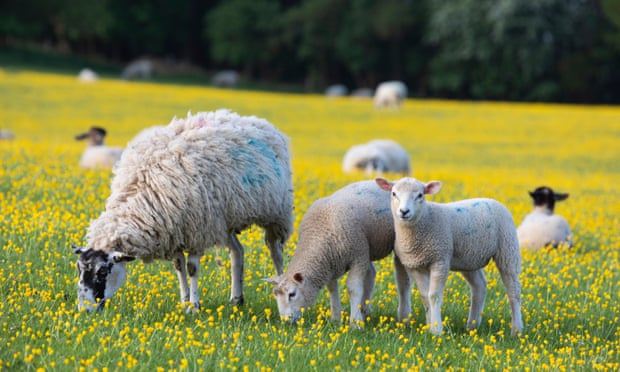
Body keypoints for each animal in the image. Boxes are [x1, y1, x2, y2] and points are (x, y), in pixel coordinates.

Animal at [71, 109, 294, 312]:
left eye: (102, 272)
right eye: (79, 269)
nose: (84, 310)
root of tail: (260, 122)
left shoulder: (197, 230)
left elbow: (192, 268)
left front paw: (194, 306)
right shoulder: (175, 230)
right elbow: (179, 266)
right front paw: (184, 301)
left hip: (277, 214)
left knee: (276, 253)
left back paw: (280, 289)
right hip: (224, 221)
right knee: (237, 252)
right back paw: (236, 300)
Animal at [266, 180, 406, 326]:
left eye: (292, 294)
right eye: (275, 295)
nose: (286, 321)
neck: (318, 236)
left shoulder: (357, 257)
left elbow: (353, 289)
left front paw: (355, 322)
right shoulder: (330, 262)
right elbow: (332, 289)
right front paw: (335, 318)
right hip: (366, 250)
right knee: (371, 274)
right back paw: (364, 310)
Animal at [376, 177, 524, 338]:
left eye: (420, 195)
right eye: (394, 193)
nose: (404, 211)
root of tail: (492, 200)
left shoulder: (440, 260)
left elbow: (433, 295)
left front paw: (436, 330)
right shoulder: (414, 265)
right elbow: (425, 296)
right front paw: (429, 326)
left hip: (508, 249)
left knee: (514, 291)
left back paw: (516, 330)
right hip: (469, 258)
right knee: (479, 286)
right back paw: (472, 325)